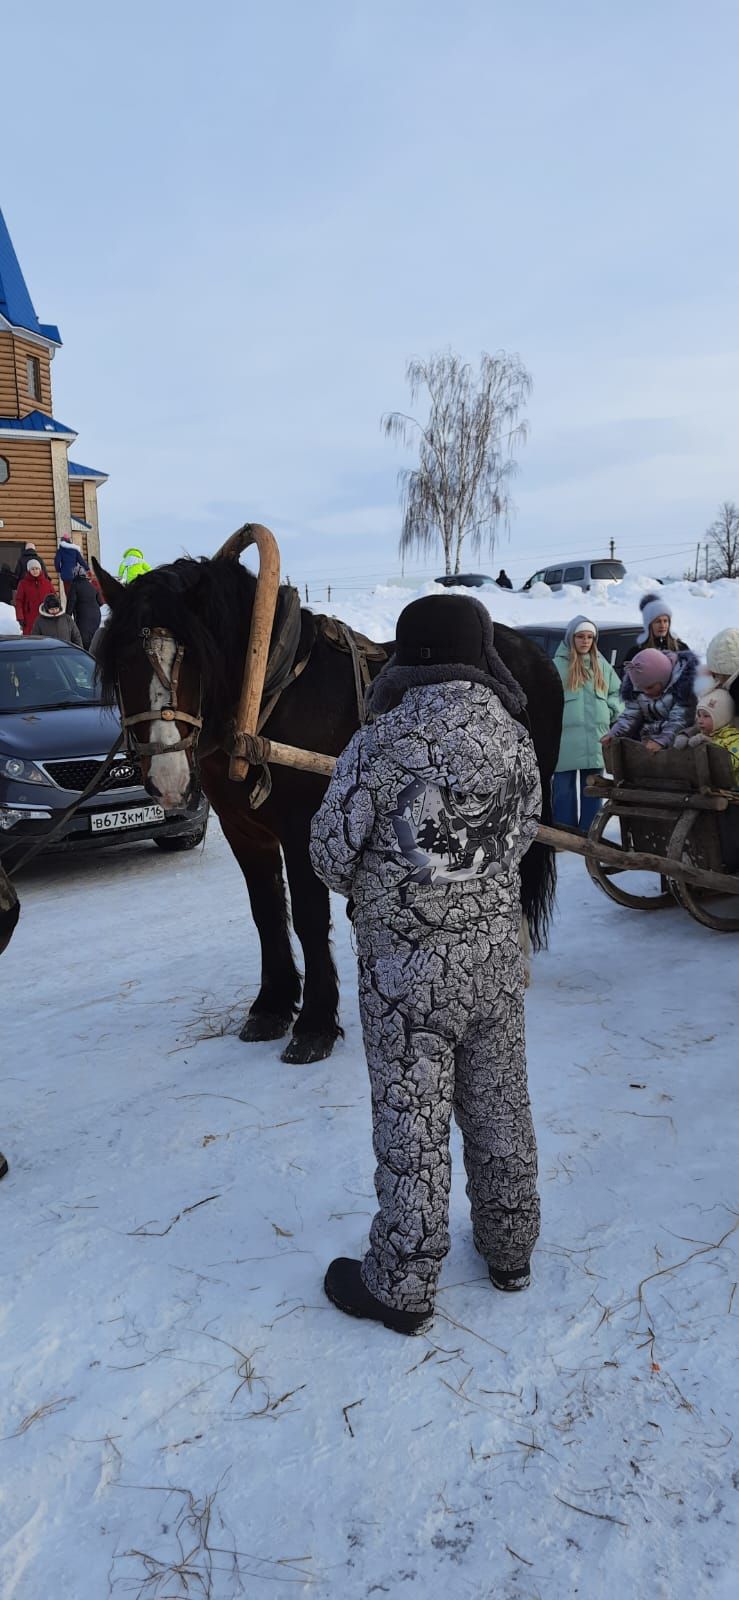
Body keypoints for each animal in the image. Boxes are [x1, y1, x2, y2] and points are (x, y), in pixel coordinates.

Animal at [95, 550, 563, 1062]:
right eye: (121, 663)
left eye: (194, 657)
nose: (167, 780)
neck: (266, 695)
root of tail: (535, 651)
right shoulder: (245, 833)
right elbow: (266, 912)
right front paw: (271, 1007)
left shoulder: (305, 829)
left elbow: (308, 916)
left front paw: (315, 1024)